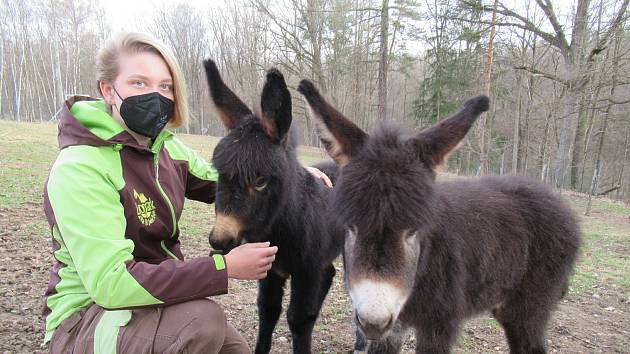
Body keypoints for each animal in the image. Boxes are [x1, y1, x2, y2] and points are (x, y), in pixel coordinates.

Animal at [205, 59, 348, 352]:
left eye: (260, 181)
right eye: (218, 173)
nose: (220, 240)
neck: (281, 230)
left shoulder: (306, 271)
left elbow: (299, 319)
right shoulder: (271, 271)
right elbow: (268, 311)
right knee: (328, 273)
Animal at [298, 81, 584, 354]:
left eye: (413, 230)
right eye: (351, 226)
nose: (372, 323)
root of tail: (557, 200)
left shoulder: (439, 325)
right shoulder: (394, 327)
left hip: (528, 307)